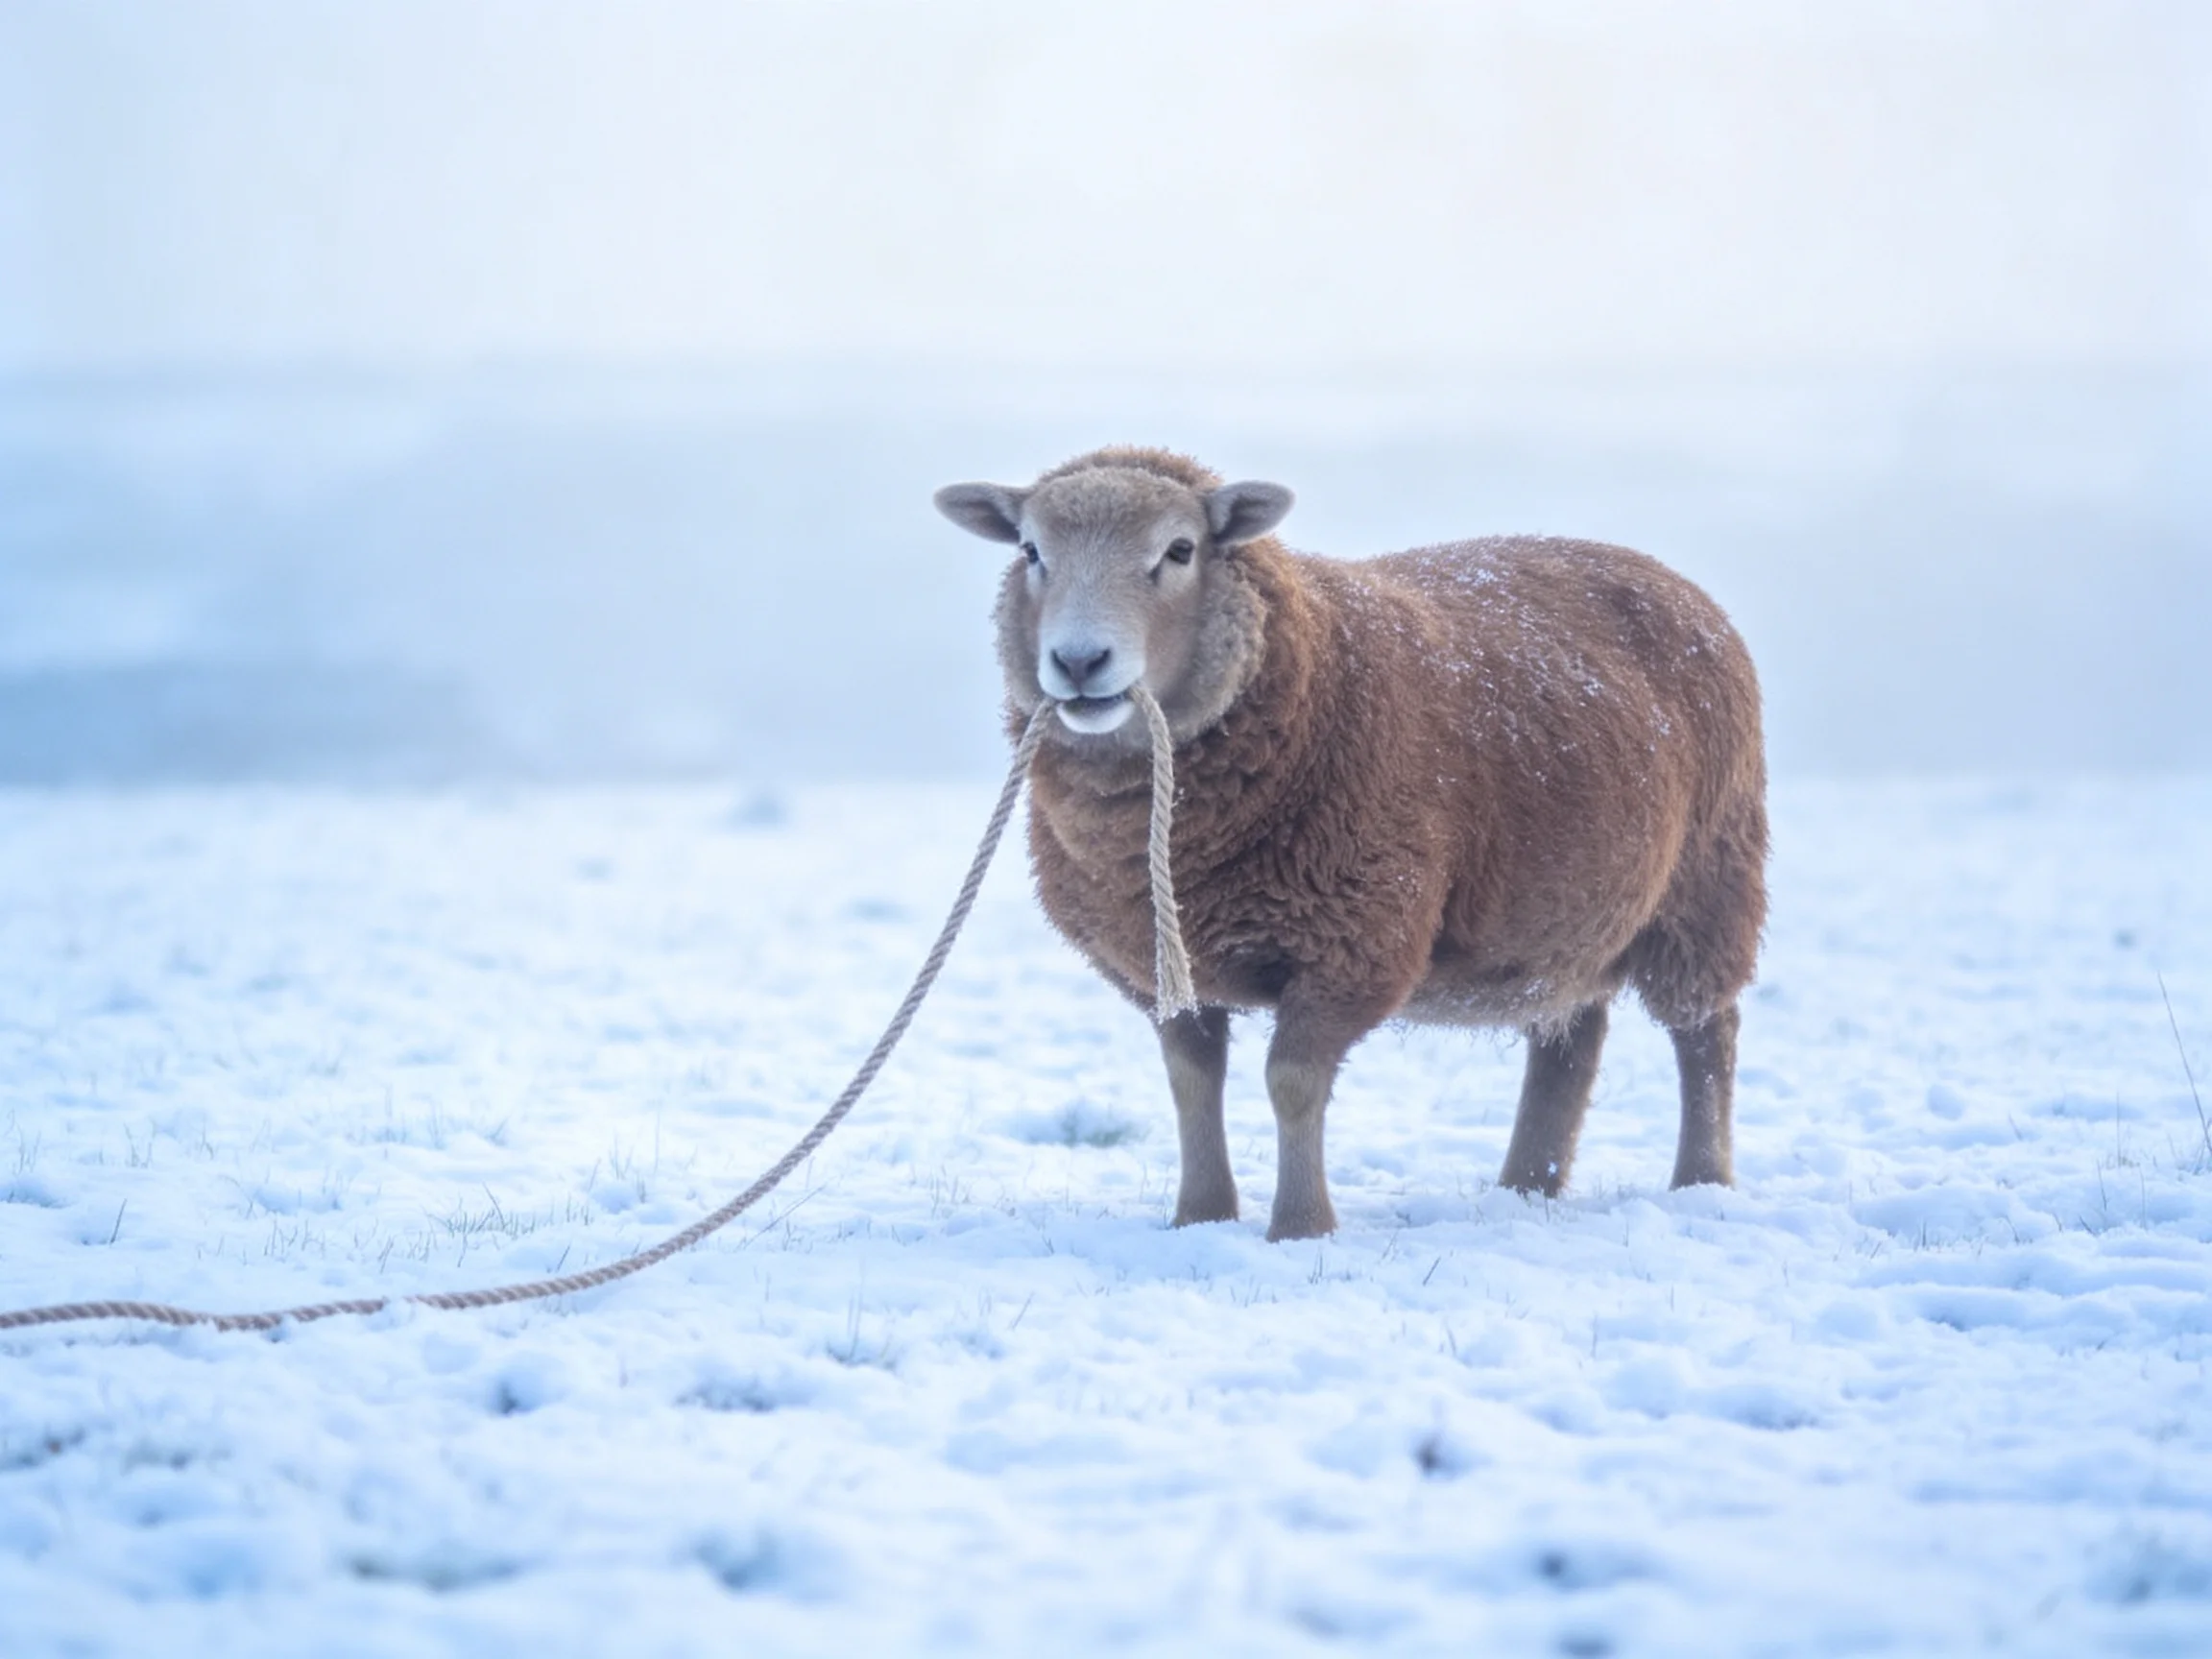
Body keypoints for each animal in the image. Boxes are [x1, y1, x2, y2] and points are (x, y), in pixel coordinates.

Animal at [934, 446, 1767, 1240]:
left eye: (1179, 550)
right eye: (1032, 550)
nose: (1079, 663)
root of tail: (1663, 575)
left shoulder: (1352, 940)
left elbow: (1292, 1083)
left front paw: (1301, 1227)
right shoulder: (1164, 963)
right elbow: (1190, 1083)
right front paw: (1200, 1216)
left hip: (1706, 886)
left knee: (1707, 1033)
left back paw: (1700, 1181)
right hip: (1566, 912)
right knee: (1571, 1036)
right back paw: (1527, 1186)